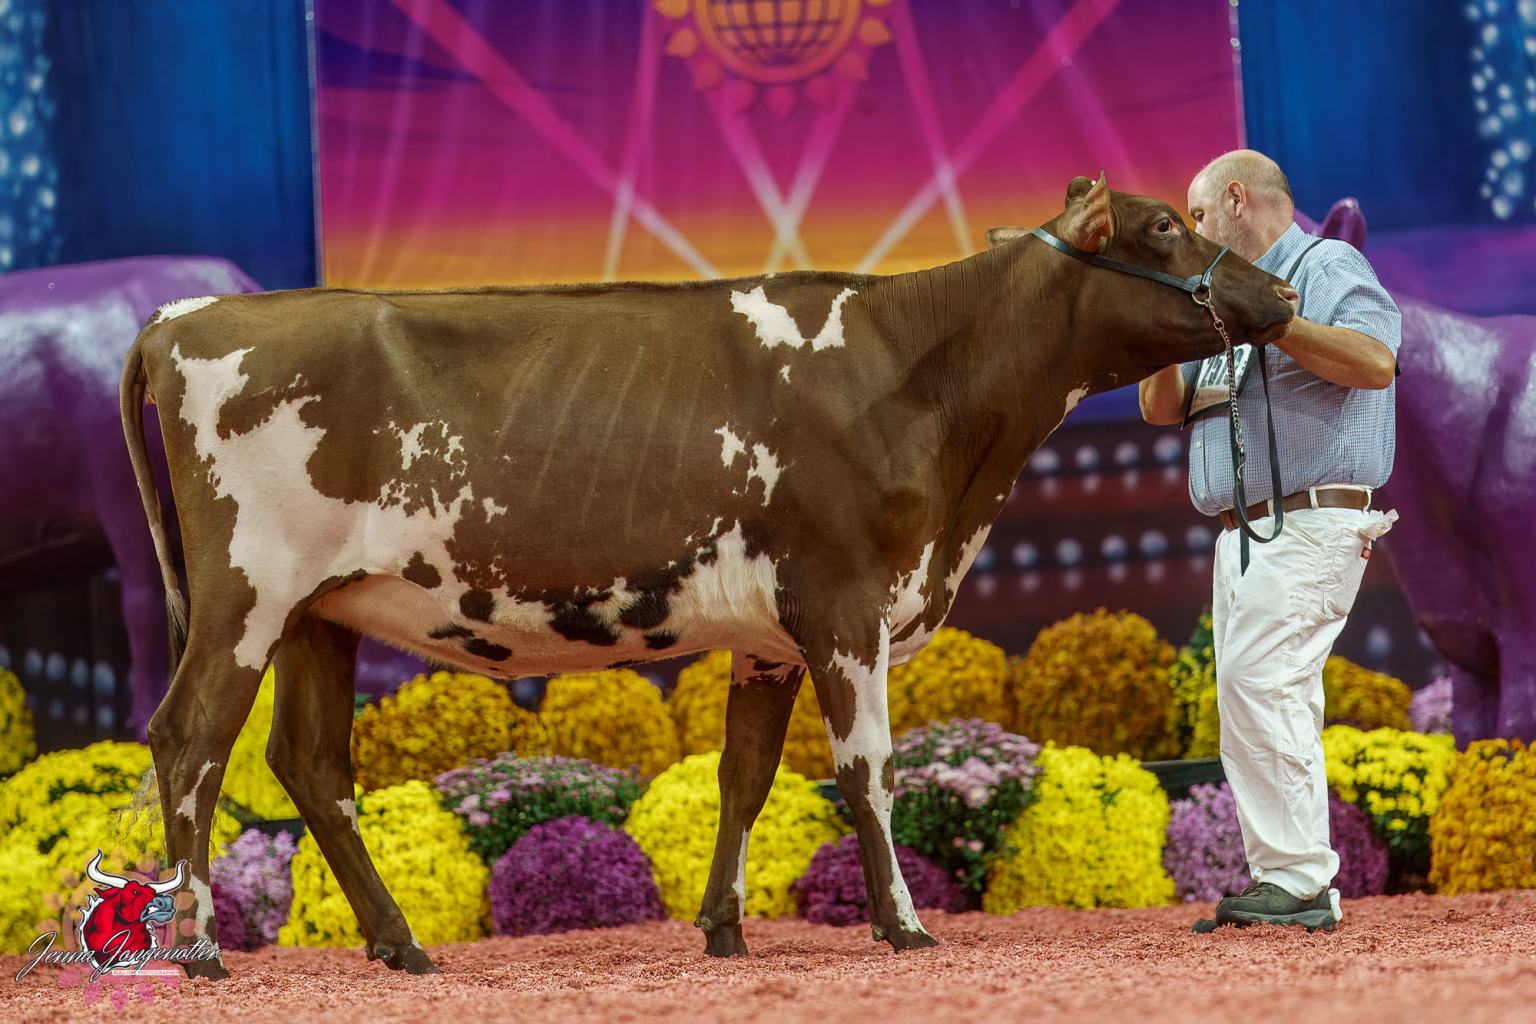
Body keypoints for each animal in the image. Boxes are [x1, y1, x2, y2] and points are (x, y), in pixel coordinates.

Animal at [120, 176, 1296, 977]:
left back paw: (400, 943)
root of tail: (185, 319)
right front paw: (903, 923)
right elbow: (865, 767)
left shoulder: (772, 636)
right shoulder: (846, 603)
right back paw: (199, 948)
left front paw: (723, 927)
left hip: (320, 610)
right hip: (244, 593)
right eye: (1163, 226)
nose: (1281, 290)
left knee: (310, 763)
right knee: (190, 741)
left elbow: (745, 775)